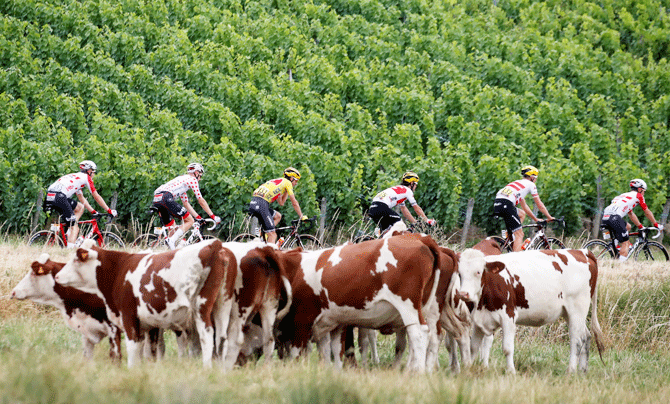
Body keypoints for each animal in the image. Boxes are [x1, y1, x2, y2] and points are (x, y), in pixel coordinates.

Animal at [55, 238, 239, 368]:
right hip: (223, 305)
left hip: (201, 307)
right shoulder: (145, 324)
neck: (119, 270)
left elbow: (132, 347)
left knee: (207, 335)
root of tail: (215, 245)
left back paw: (206, 367)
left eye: (76, 259)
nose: (57, 276)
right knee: (222, 338)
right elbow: (145, 349)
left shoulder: (128, 315)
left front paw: (131, 369)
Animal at [276, 235, 444, 374]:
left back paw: (418, 372)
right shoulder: (332, 323)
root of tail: (421, 240)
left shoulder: (302, 320)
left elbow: (297, 354)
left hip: (408, 306)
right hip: (425, 308)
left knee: (419, 333)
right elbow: (332, 351)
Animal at [460, 248, 608, 374]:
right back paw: (582, 370)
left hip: (577, 309)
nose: (463, 293)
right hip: (570, 313)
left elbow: (507, 348)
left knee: (576, 340)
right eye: (460, 274)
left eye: (478, 272)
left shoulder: (509, 316)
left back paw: (571, 371)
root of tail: (582, 251)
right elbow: (473, 347)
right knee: (586, 336)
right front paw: (468, 369)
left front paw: (511, 371)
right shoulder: (479, 320)